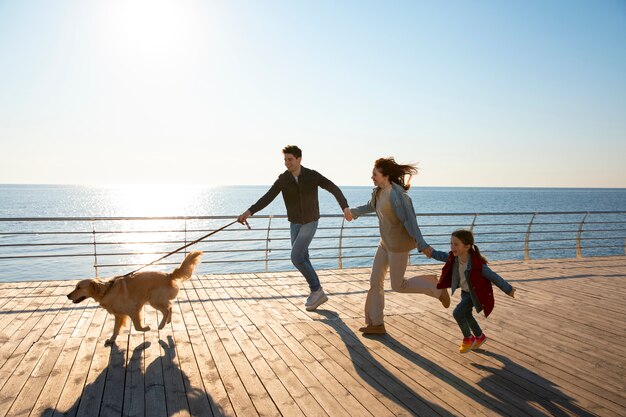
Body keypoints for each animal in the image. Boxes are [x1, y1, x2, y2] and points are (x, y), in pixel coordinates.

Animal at [67, 250, 202, 344]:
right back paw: (166, 322)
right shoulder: (118, 315)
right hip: (157, 299)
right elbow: (115, 329)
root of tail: (168, 275)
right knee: (170, 306)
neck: (107, 290)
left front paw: (146, 328)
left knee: (167, 309)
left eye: (79, 287)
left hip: (154, 299)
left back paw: (161, 325)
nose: (67, 295)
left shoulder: (133, 309)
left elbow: (137, 327)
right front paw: (111, 339)